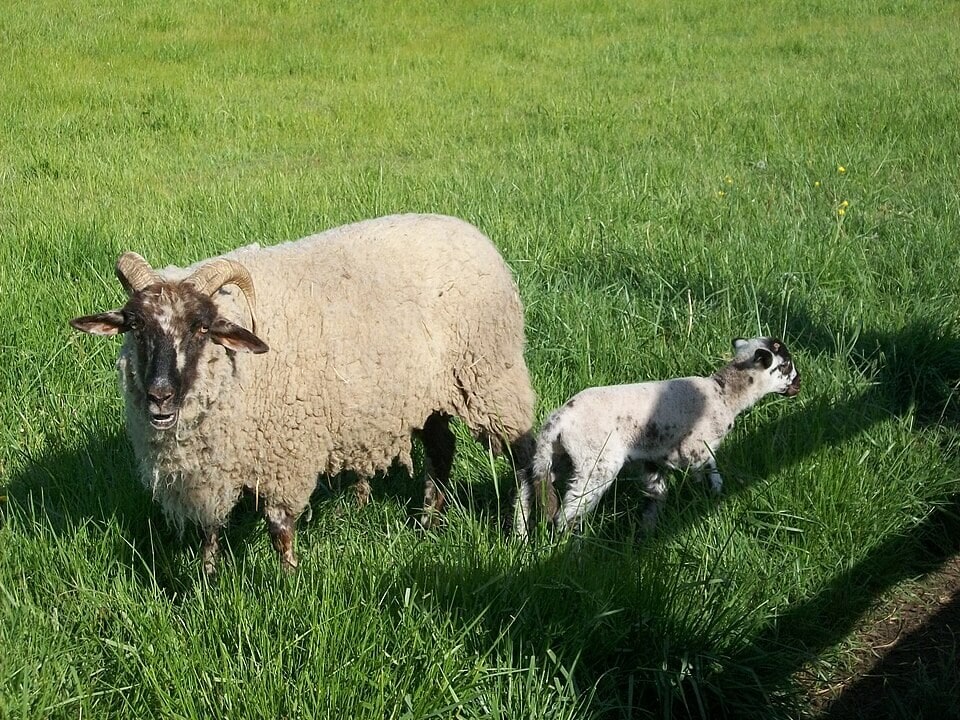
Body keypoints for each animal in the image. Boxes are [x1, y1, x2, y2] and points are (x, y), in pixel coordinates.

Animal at [70, 213, 536, 575]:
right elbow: (210, 528)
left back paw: (521, 530)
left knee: (522, 449)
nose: (160, 396)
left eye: (201, 328)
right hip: (426, 393)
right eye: (134, 326)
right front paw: (206, 579)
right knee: (442, 448)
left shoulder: (286, 454)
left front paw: (288, 581)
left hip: (490, 375)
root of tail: (470, 232)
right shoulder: (213, 464)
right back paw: (427, 524)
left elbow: (280, 528)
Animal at [513, 337, 800, 536]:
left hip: (556, 456)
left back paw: (520, 534)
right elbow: (712, 473)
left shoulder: (653, 458)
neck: (725, 394)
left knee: (527, 485)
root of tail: (558, 420)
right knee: (570, 510)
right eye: (786, 366)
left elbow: (656, 494)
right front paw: (713, 499)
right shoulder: (696, 448)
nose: (799, 384)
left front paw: (648, 530)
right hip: (596, 462)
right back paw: (571, 546)